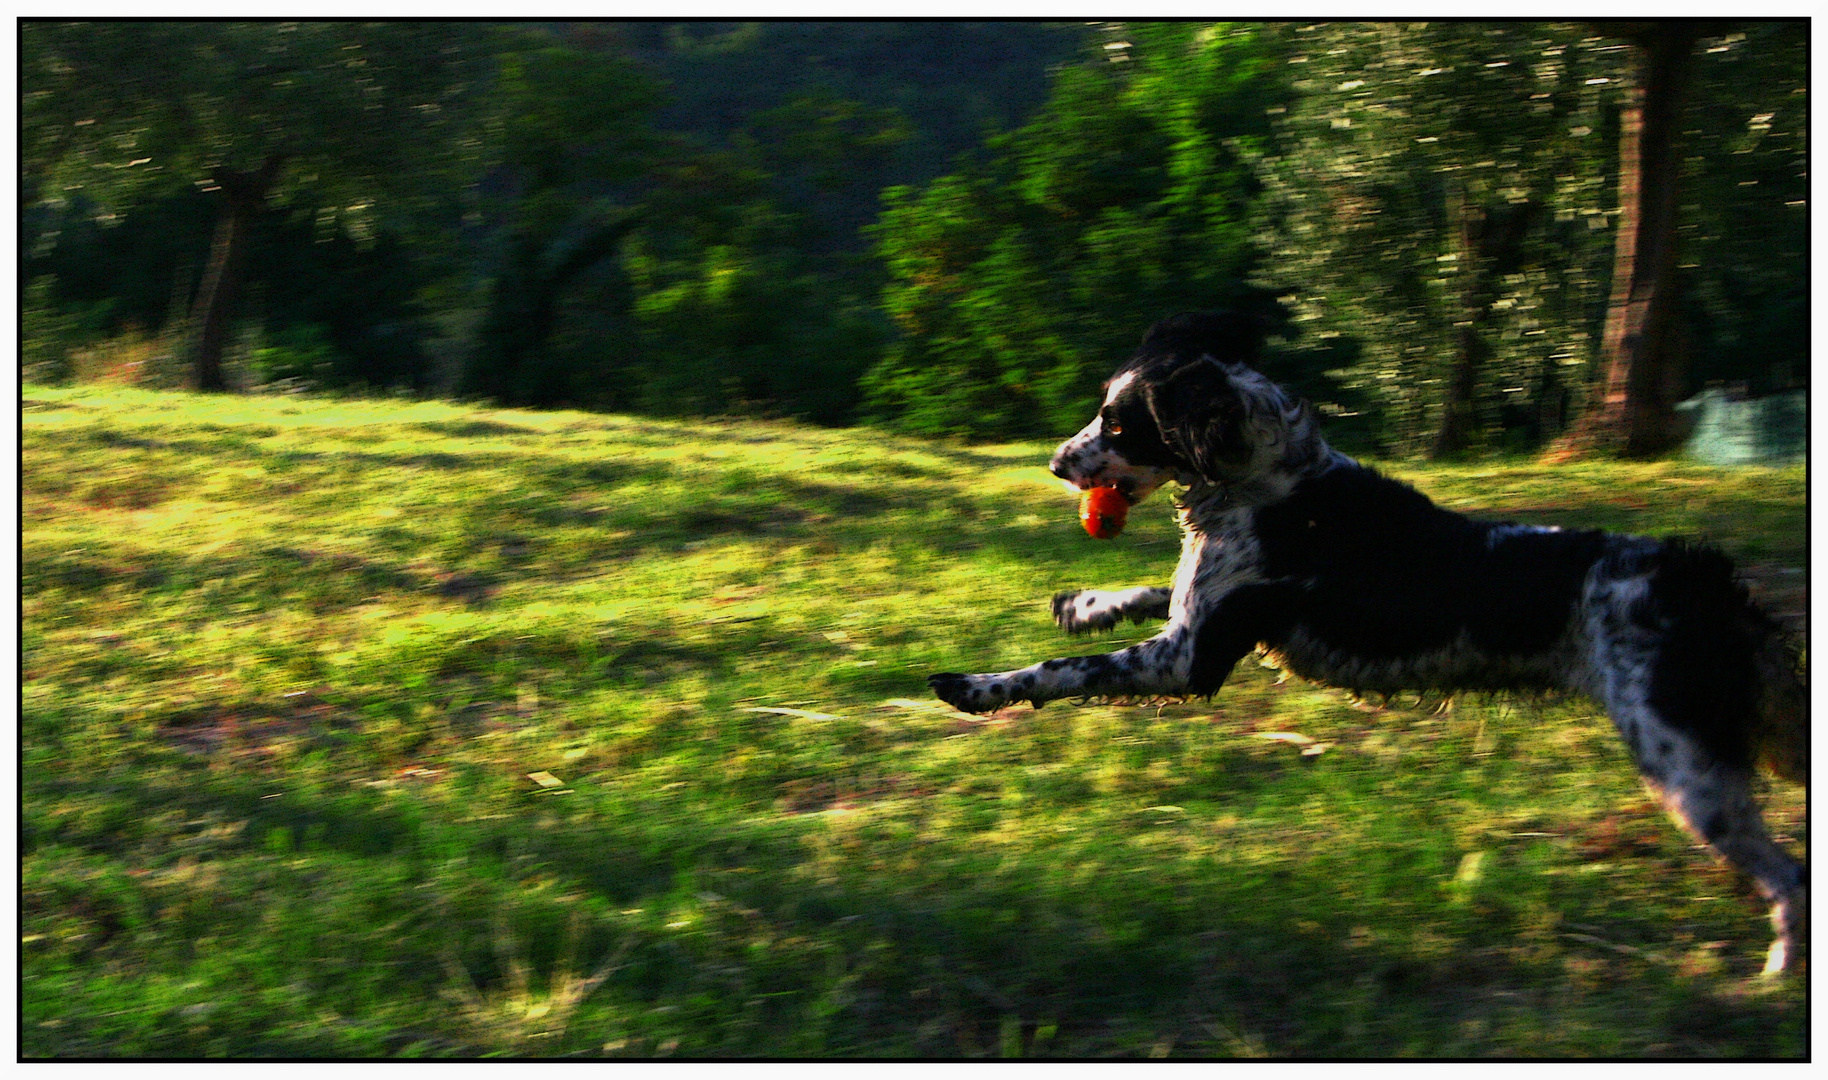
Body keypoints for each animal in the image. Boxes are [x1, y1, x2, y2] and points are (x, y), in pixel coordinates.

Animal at [935, 310, 1806, 972]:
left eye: (1120, 424)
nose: (1056, 464)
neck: (1271, 479)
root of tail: (1704, 581)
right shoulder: (1200, 618)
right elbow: (1152, 591)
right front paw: (1085, 602)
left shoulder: (1188, 660)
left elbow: (1062, 670)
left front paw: (976, 687)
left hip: (1684, 764)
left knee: (1791, 876)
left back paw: (1772, 980)